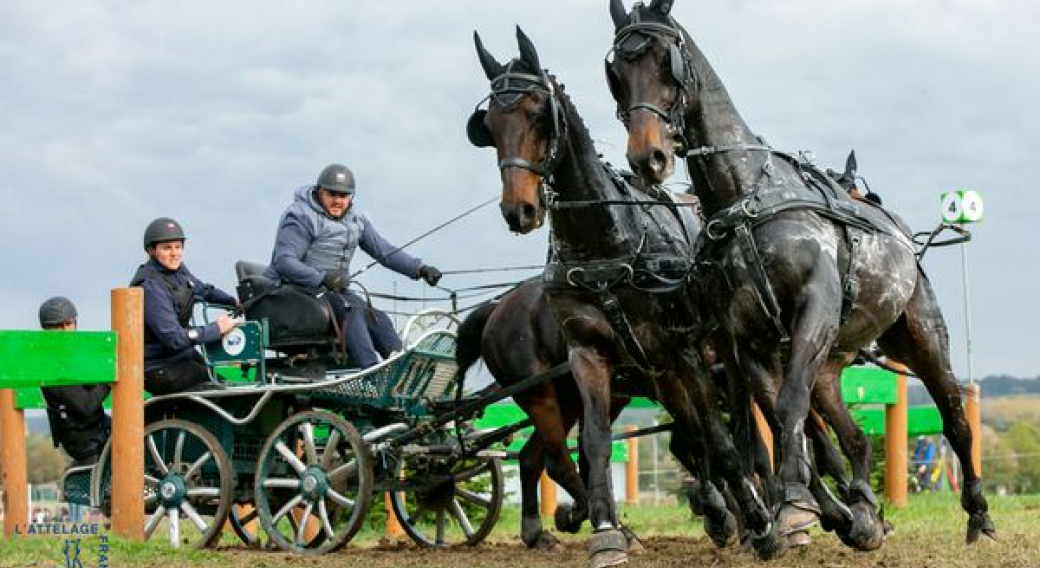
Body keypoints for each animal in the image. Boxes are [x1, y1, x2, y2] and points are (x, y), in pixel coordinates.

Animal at [467, 25, 782, 561]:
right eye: (488, 124)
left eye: (537, 112)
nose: (520, 210)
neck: (607, 241)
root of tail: (496, 309)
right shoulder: (591, 356)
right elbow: (598, 445)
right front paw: (607, 533)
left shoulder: (682, 355)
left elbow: (717, 439)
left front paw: (753, 519)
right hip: (550, 393)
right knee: (554, 457)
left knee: (540, 457)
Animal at [607, 0, 994, 545]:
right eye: (617, 76)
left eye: (668, 62)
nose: (649, 158)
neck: (746, 199)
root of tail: (903, 235)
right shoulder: (746, 341)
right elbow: (779, 417)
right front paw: (818, 509)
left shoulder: (813, 311)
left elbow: (790, 406)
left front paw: (794, 506)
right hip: (830, 364)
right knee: (853, 437)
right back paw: (863, 511)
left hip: (919, 336)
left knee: (954, 416)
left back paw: (977, 513)